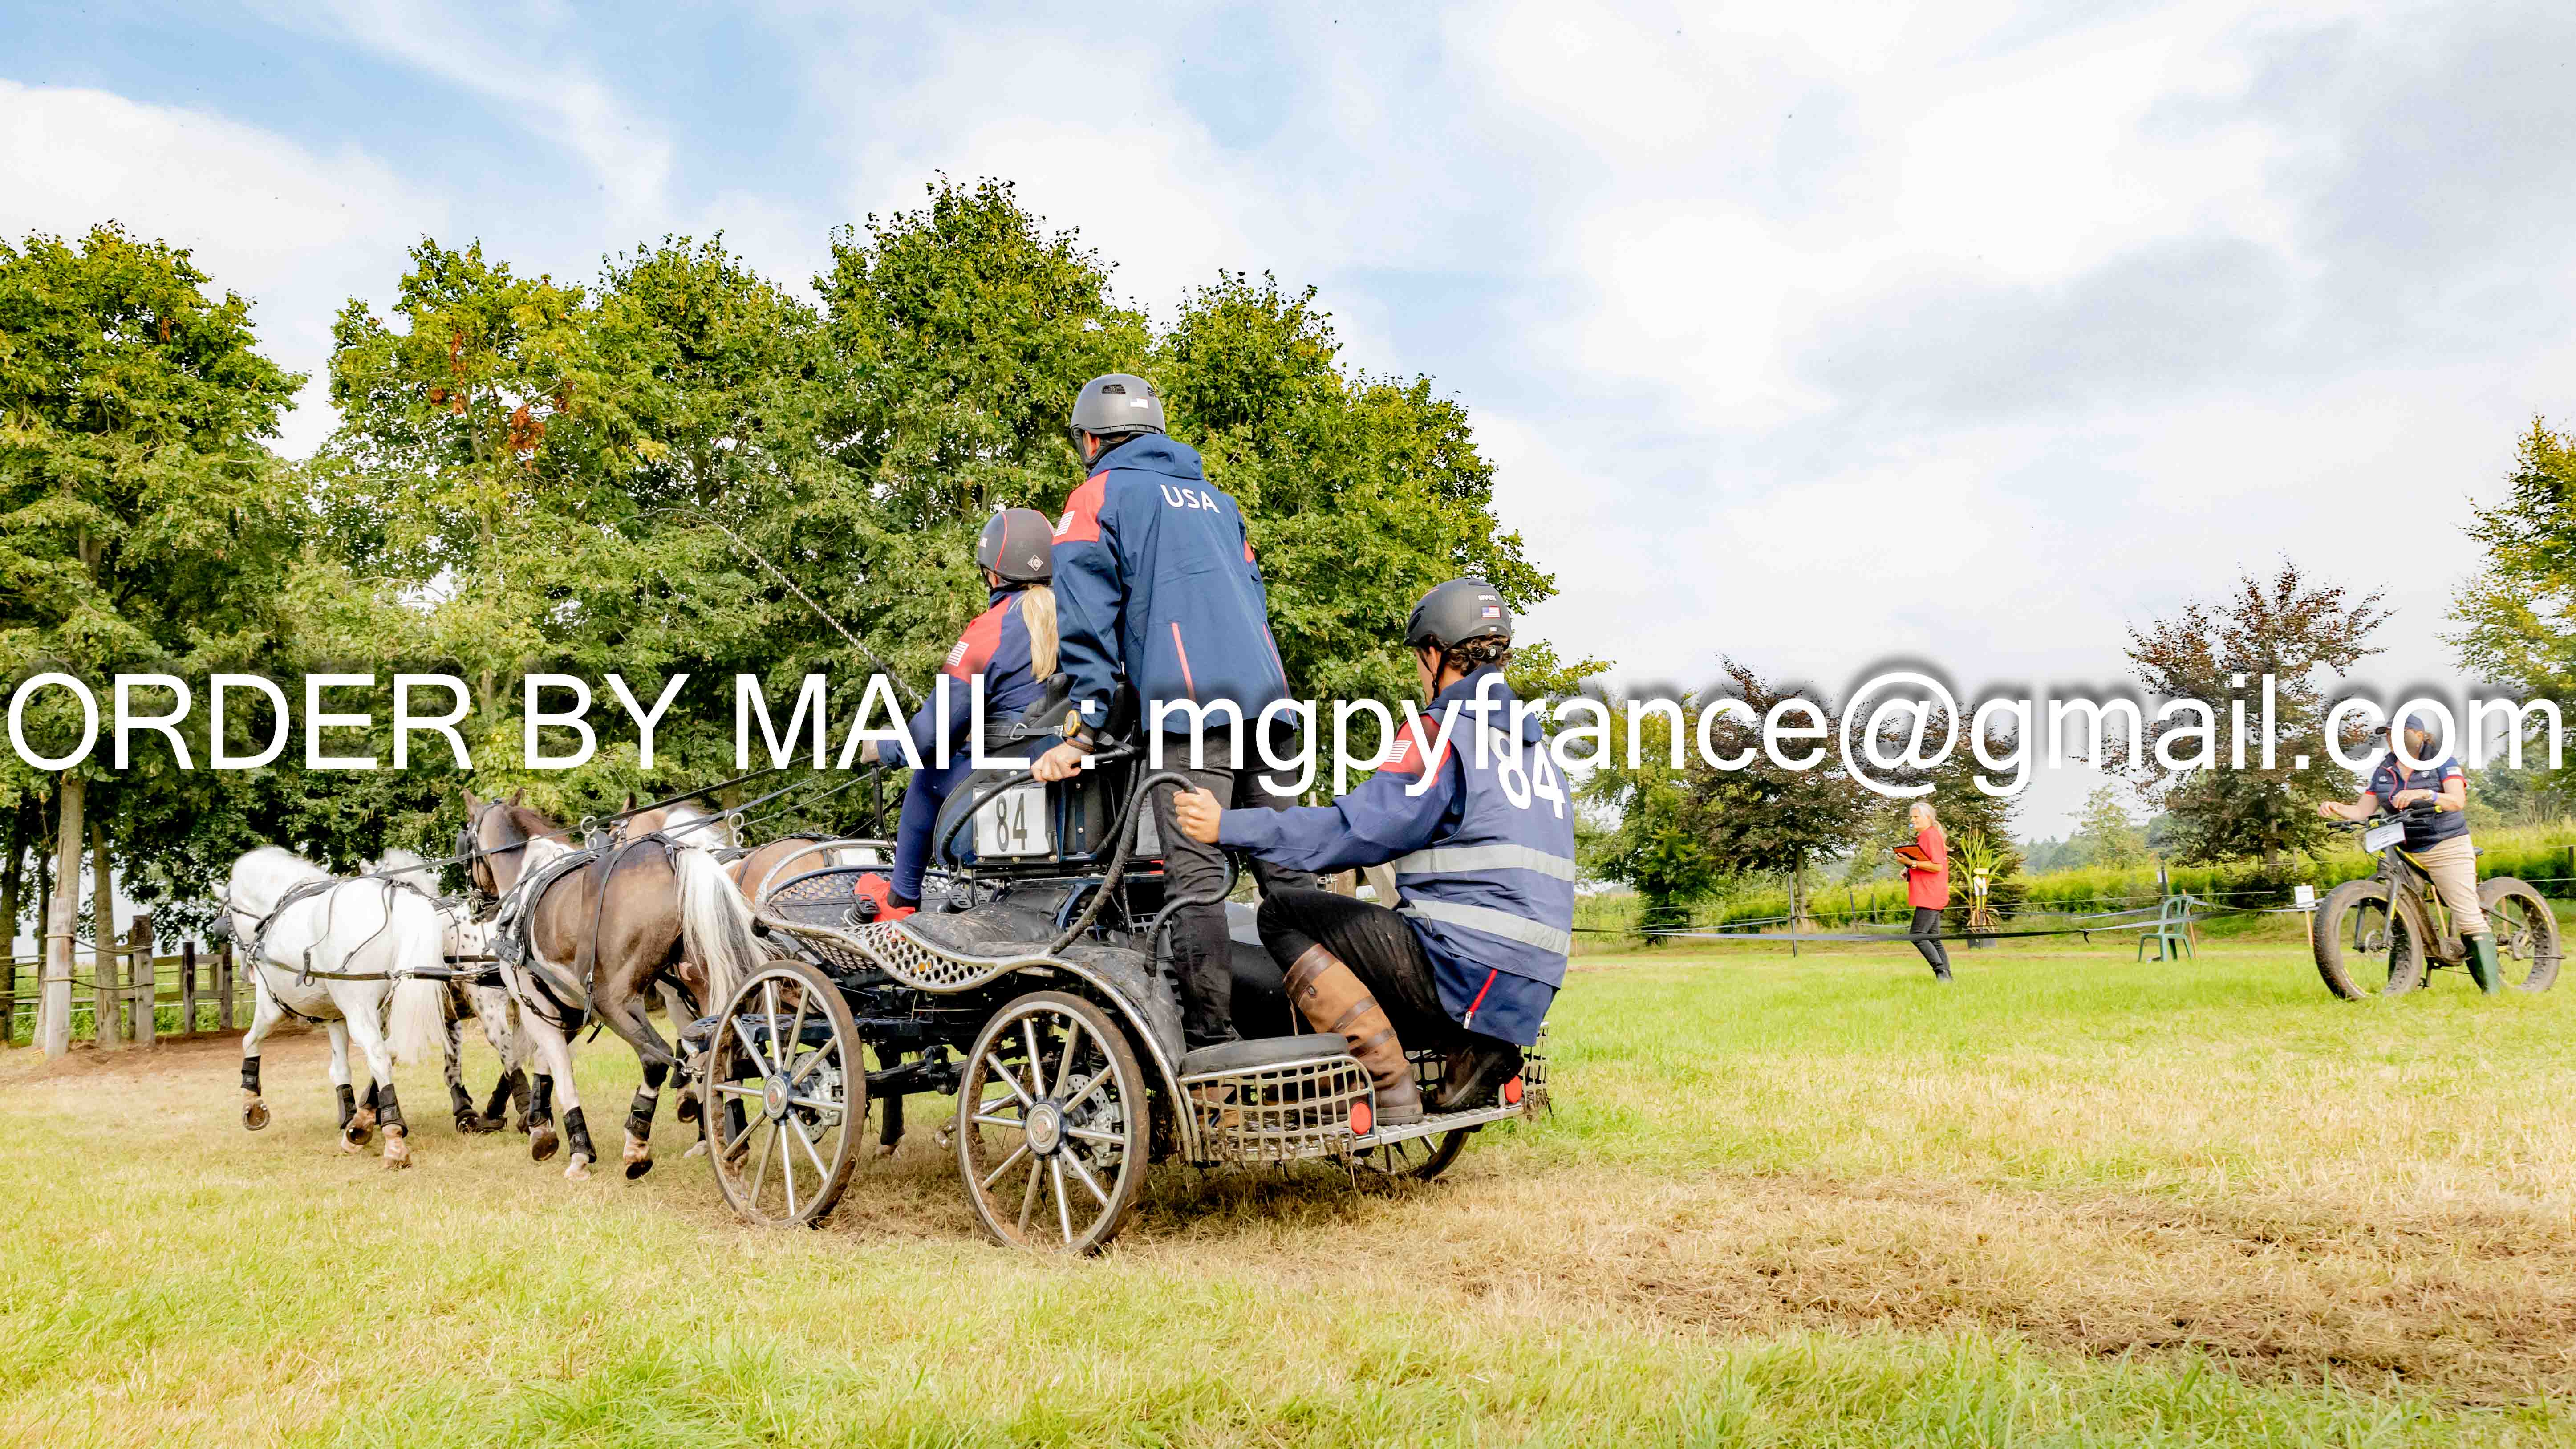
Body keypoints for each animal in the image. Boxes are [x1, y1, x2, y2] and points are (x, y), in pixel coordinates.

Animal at [227, 847, 452, 1169]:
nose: (244, 966)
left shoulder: (272, 1005)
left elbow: (250, 1041)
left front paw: (252, 1101)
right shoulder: (336, 1017)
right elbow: (341, 1068)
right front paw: (349, 1113)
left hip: (358, 1006)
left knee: (379, 1054)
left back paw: (392, 1139)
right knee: (391, 1050)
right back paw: (362, 1123)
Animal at [458, 787, 760, 1180]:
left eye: (466, 839)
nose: (476, 903)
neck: (529, 875)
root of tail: (674, 857)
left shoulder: (534, 1004)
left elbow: (560, 1070)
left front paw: (576, 1149)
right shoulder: (565, 1005)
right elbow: (546, 1063)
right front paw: (541, 1124)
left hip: (613, 1000)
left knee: (654, 1058)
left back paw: (637, 1143)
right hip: (706, 991)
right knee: (722, 1055)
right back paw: (731, 1141)